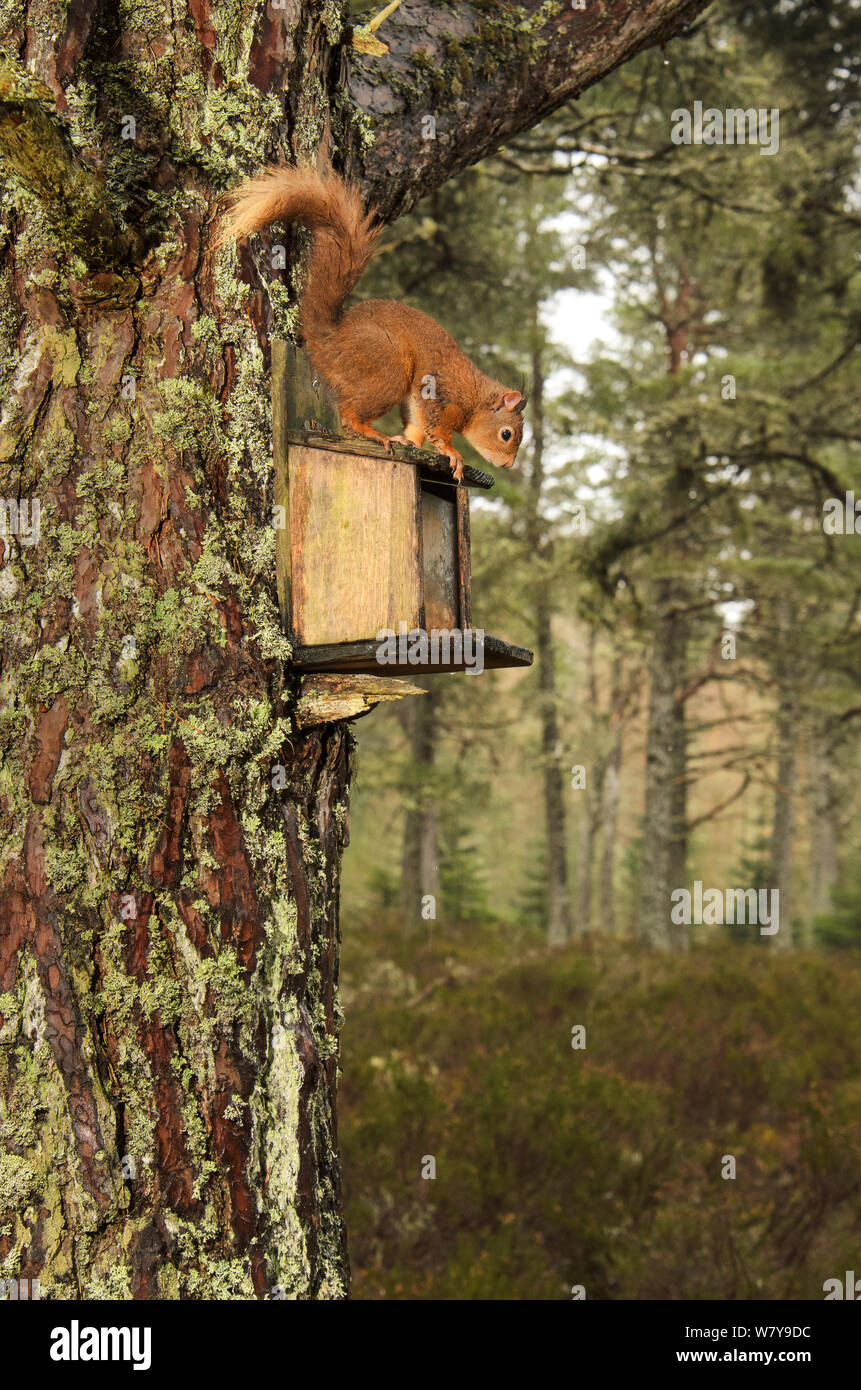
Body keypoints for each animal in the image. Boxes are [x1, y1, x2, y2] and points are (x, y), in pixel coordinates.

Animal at [215, 165, 528, 480]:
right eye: (507, 434)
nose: (507, 465)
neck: (475, 398)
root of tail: (329, 335)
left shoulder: (417, 406)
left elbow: (416, 428)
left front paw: (413, 445)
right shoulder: (440, 397)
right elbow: (438, 430)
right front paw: (453, 454)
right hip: (388, 367)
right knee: (349, 415)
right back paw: (377, 434)